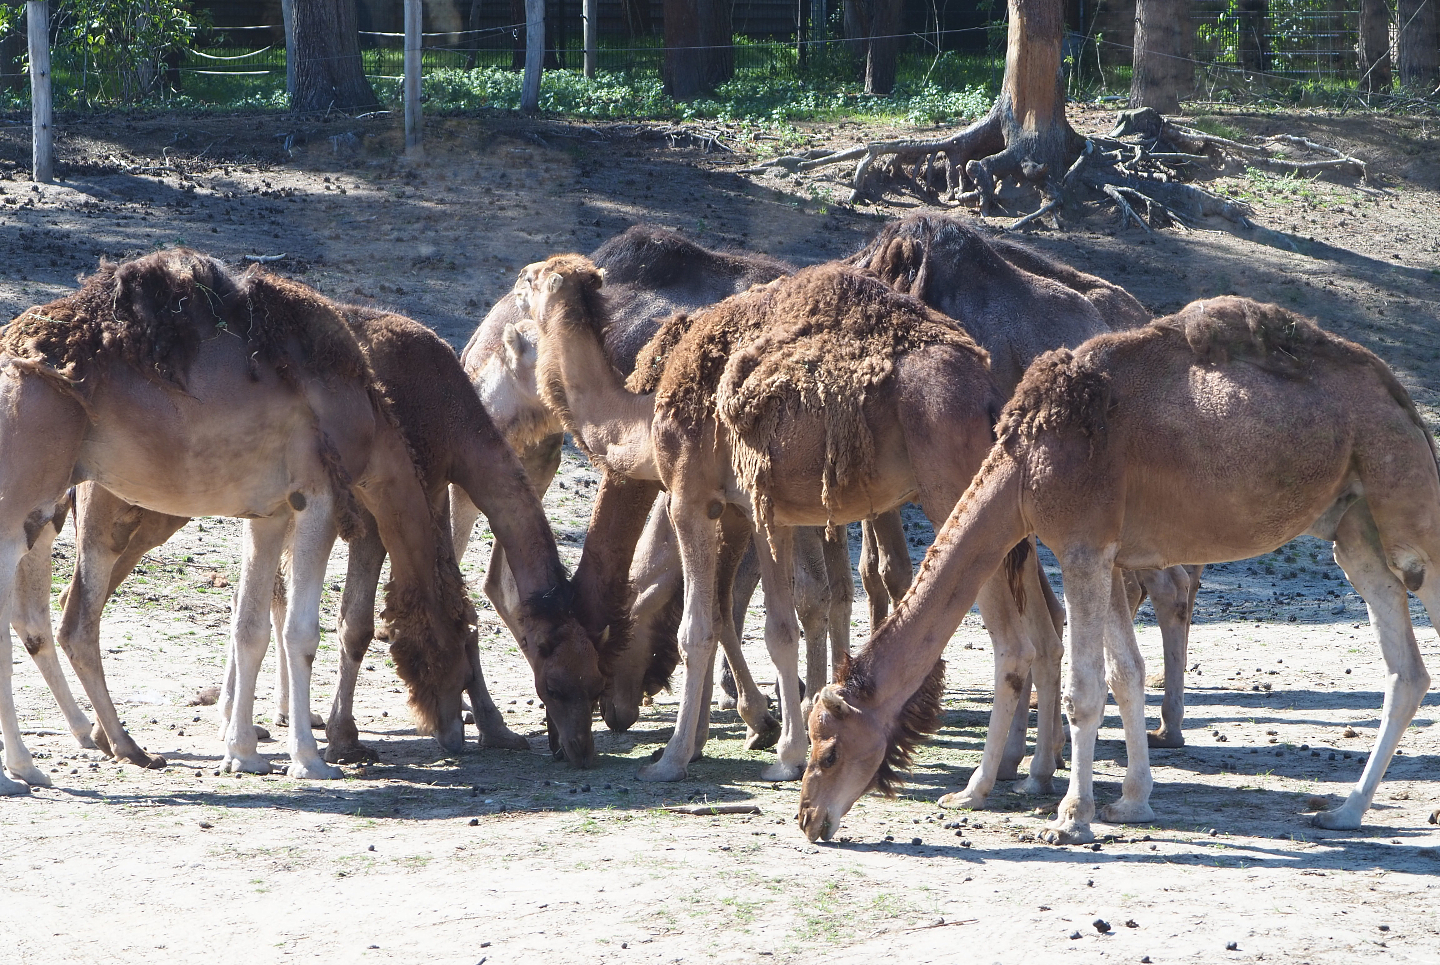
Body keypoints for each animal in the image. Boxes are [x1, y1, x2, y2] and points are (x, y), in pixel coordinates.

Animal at [516, 254, 1059, 784]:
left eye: (530, 280)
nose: (610, 712)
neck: (643, 415)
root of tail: (987, 392)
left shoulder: (690, 498)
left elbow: (701, 629)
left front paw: (675, 758)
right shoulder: (760, 510)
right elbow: (784, 622)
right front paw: (784, 750)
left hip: (949, 484)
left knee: (1012, 639)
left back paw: (982, 784)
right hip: (1007, 502)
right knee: (1044, 631)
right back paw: (1031, 768)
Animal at [798, 296, 1437, 844]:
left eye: (829, 752)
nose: (808, 818)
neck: (1025, 463)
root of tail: (1404, 403)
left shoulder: (1081, 544)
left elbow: (1084, 688)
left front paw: (1071, 817)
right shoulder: (1106, 550)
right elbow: (1126, 673)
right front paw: (1131, 801)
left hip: (1411, 515)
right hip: (1355, 529)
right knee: (1405, 670)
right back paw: (1344, 812)